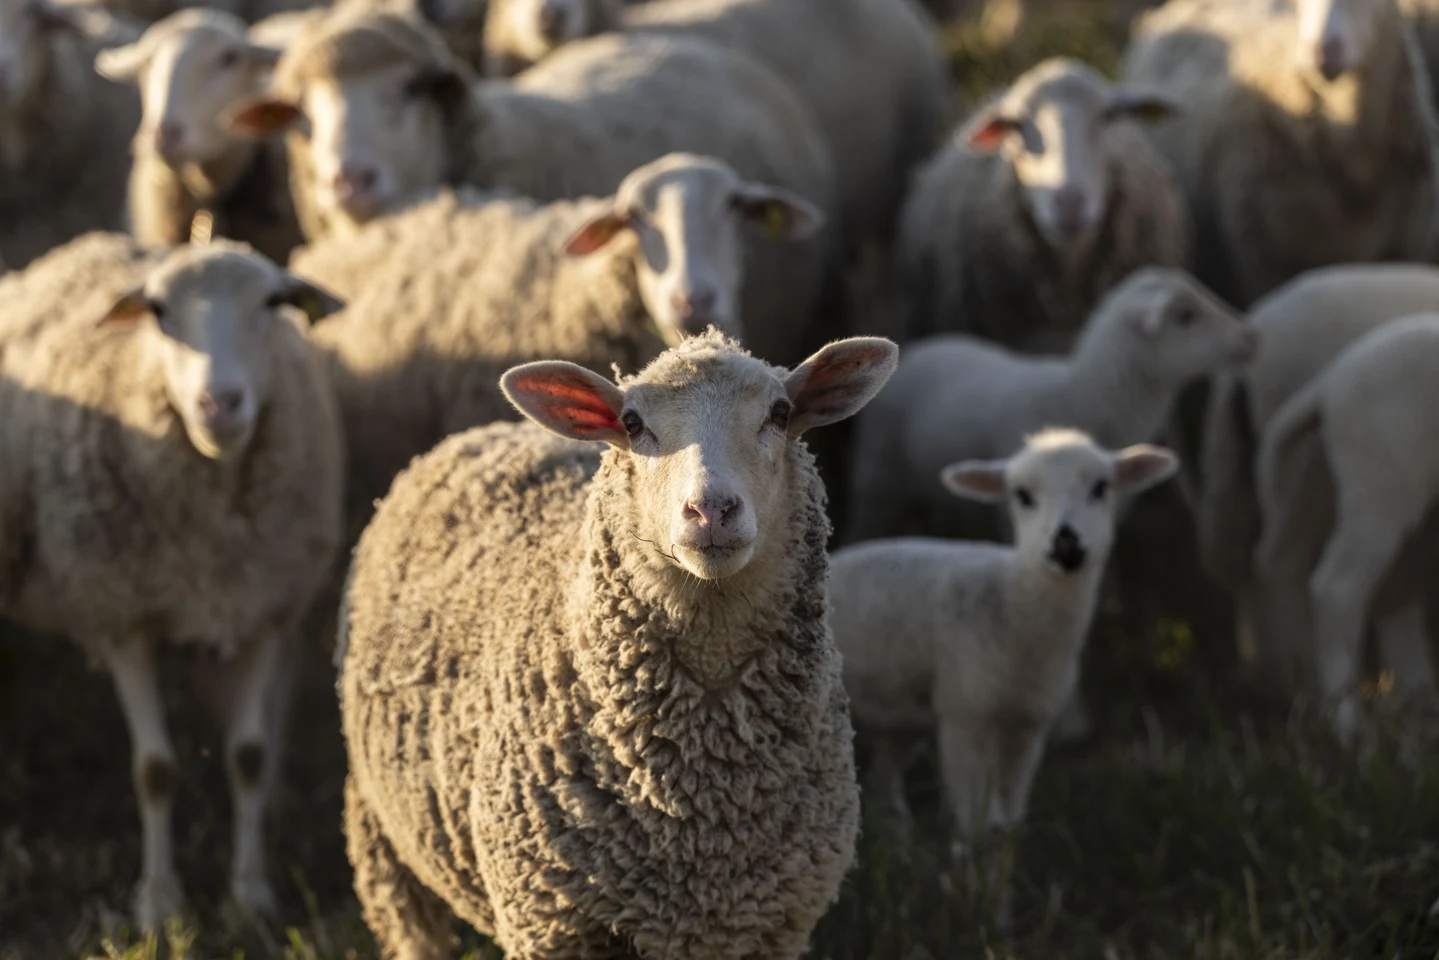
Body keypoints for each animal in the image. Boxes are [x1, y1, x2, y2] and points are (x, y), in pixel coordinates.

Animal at [0, 232, 345, 930]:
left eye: (274, 302)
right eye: (158, 312)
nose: (219, 404)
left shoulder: (264, 613)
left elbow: (249, 757)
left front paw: (250, 896)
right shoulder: (120, 620)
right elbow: (156, 770)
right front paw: (159, 903)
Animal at [337, 330, 896, 959]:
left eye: (780, 413)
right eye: (632, 423)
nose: (711, 510)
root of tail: (484, 432)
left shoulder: (772, 925)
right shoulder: (551, 923)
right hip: (381, 834)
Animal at [830, 430, 1177, 900]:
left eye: (1101, 488)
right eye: (1023, 495)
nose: (1067, 543)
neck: (1013, 602)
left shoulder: (1027, 726)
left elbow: (1009, 826)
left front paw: (997, 904)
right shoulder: (965, 717)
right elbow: (982, 828)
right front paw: (976, 906)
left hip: (899, 716)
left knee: (886, 791)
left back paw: (898, 864)